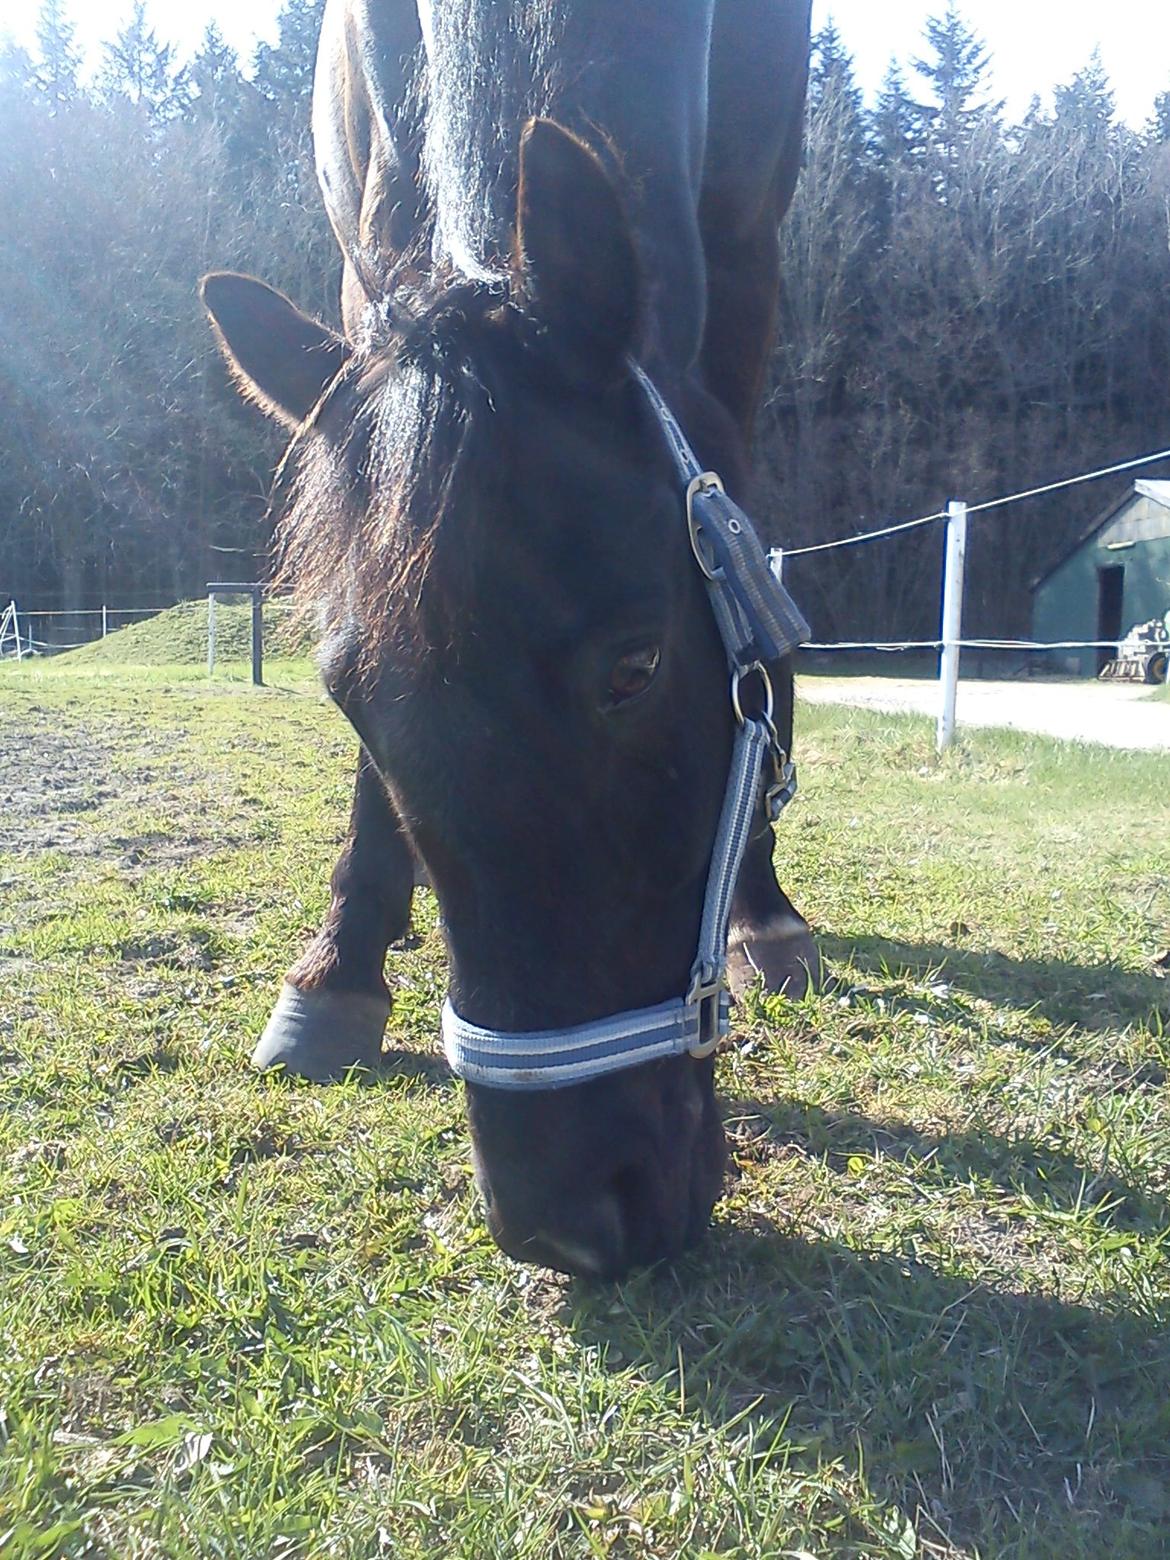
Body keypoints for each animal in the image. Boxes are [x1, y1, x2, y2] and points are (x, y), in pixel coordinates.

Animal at [204, 0, 817, 1272]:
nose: (565, 1226)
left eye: (635, 667)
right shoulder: (366, 270)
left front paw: (764, 909)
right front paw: (337, 974)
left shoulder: (747, 262)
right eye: (343, 696)